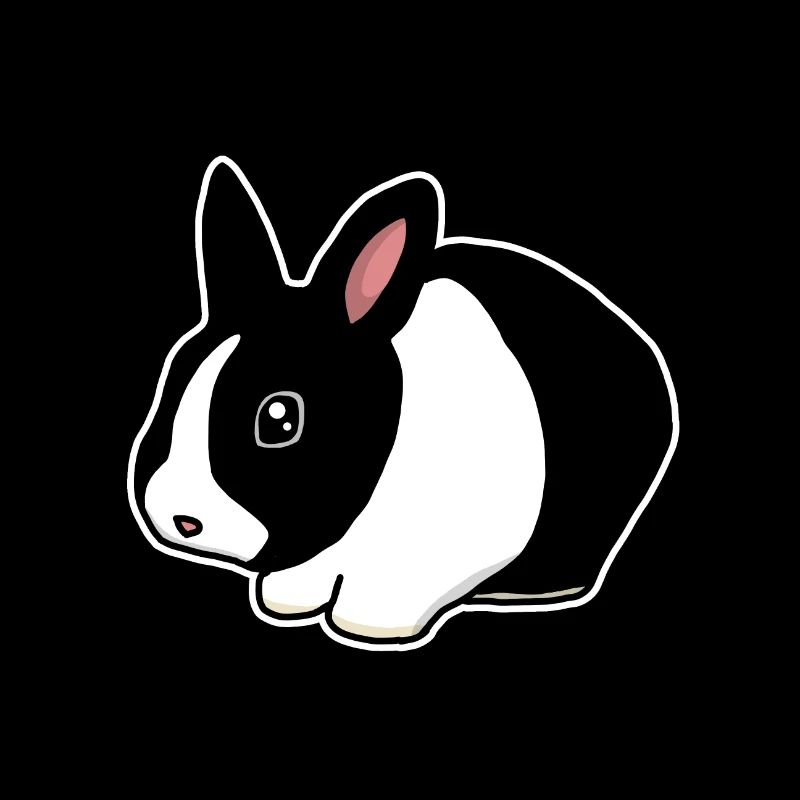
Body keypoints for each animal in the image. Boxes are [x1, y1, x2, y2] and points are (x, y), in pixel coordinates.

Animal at [128, 156, 678, 650]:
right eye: (174, 379)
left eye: (280, 418)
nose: (182, 519)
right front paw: (285, 604)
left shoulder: (439, 553)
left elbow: (391, 595)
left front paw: (368, 629)